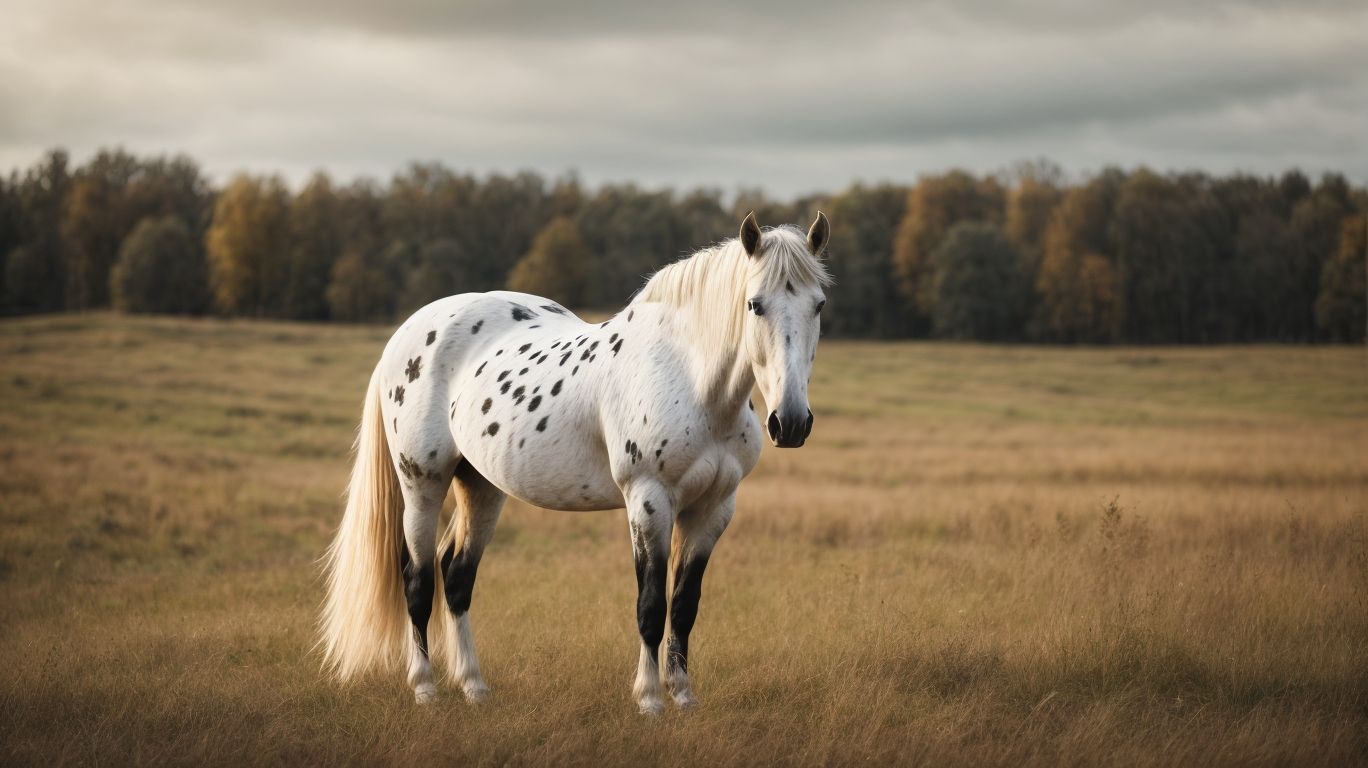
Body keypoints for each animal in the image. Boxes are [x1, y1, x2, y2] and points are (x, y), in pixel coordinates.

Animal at [319, 211, 832, 713]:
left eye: (819, 305)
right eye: (754, 304)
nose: (790, 423)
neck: (690, 380)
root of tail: (409, 331)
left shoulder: (714, 508)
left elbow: (685, 605)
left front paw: (684, 696)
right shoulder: (648, 501)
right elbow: (651, 606)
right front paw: (650, 700)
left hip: (481, 485)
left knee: (457, 576)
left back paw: (473, 686)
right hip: (422, 483)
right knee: (418, 580)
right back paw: (425, 688)